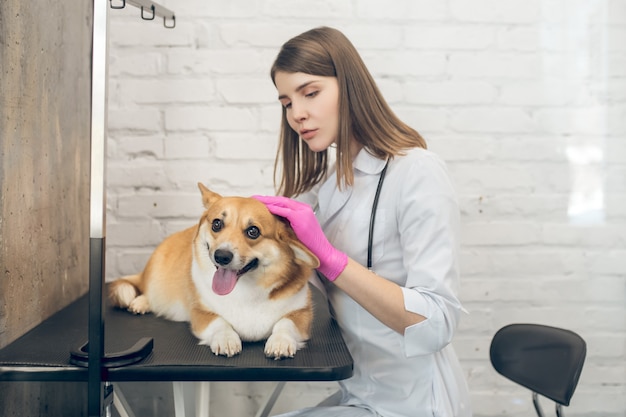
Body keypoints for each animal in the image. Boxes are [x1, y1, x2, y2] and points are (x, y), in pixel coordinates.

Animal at [108, 184, 320, 360]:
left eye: (253, 231)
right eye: (217, 224)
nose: (222, 256)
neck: (246, 291)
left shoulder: (302, 313)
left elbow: (285, 323)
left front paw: (280, 342)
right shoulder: (201, 313)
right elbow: (219, 322)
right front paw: (226, 339)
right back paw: (141, 302)